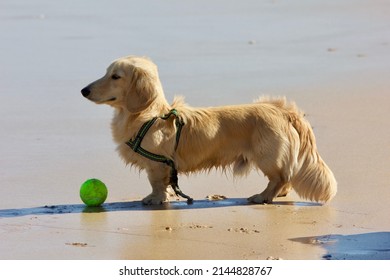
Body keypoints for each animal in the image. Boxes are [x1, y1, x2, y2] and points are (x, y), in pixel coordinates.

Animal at [80, 55, 336, 205]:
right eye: (106, 73)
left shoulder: (157, 164)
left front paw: (156, 199)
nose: (84, 90)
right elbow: (164, 184)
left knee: (280, 178)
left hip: (267, 158)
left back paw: (262, 197)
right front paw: (165, 196)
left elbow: (156, 184)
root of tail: (283, 111)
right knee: (286, 178)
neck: (149, 116)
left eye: (115, 76)